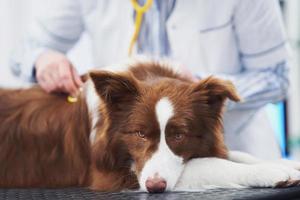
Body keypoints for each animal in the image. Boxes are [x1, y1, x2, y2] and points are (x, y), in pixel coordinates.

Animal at [0, 62, 300, 192]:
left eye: (179, 135)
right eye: (140, 134)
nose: (155, 187)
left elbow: (236, 154)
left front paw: (287, 163)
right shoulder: (113, 174)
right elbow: (212, 164)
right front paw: (272, 171)